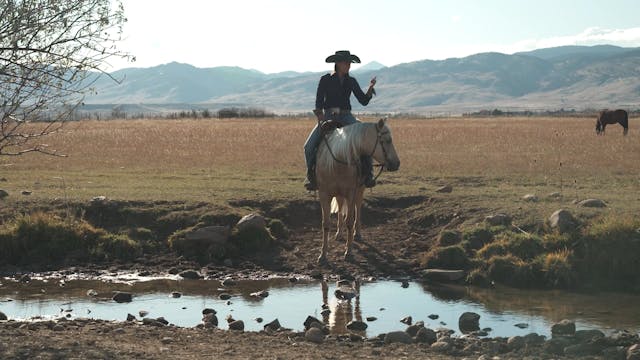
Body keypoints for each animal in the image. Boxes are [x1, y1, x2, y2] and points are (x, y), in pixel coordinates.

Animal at [312, 118, 398, 262]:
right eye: (387, 140)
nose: (397, 163)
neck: (338, 161)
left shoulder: (351, 194)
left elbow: (349, 221)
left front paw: (349, 251)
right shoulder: (324, 194)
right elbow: (326, 223)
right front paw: (322, 254)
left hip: (359, 191)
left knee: (358, 208)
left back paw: (357, 233)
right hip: (339, 194)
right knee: (340, 207)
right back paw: (338, 233)